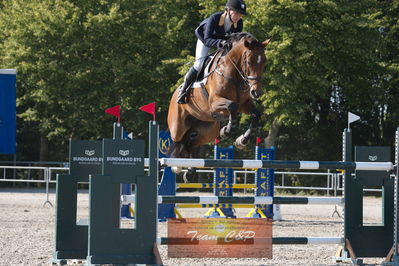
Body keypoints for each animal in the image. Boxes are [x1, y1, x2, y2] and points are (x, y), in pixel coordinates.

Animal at [167, 31, 270, 181]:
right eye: (249, 62)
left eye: (264, 62)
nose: (257, 92)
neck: (234, 74)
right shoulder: (215, 103)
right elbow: (232, 106)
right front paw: (226, 130)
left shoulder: (244, 105)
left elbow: (256, 114)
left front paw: (242, 140)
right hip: (178, 127)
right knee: (177, 142)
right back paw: (176, 165)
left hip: (208, 131)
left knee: (190, 144)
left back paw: (190, 172)